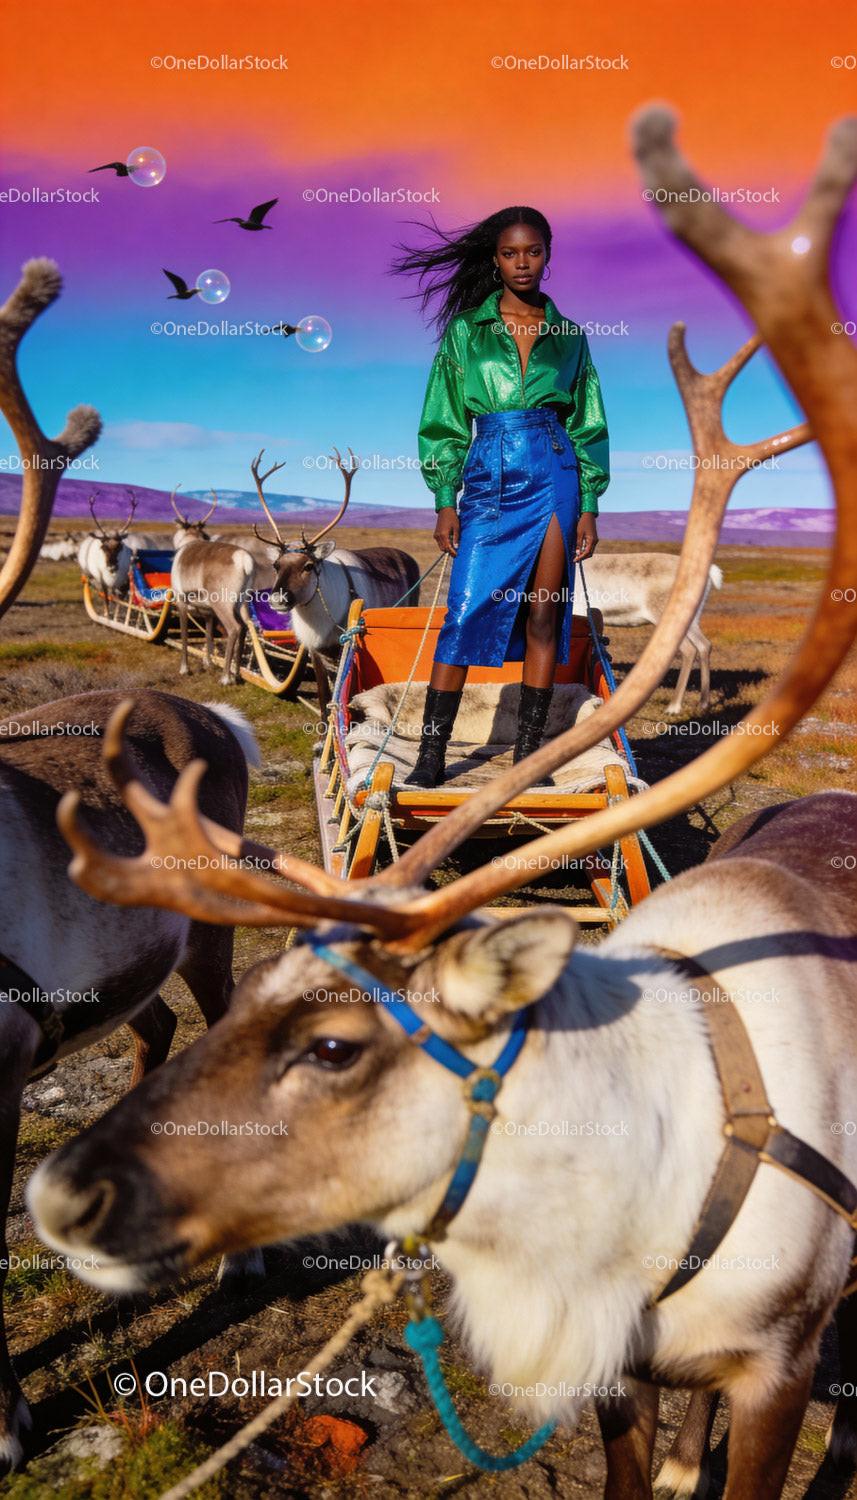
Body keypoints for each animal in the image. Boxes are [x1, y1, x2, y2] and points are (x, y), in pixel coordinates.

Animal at [169, 488, 272, 685]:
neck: (189, 540)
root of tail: (244, 560)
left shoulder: (181, 600)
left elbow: (185, 633)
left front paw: (184, 669)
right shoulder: (208, 610)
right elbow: (209, 632)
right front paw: (208, 662)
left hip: (223, 604)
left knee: (234, 628)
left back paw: (225, 678)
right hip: (242, 603)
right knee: (245, 627)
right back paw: (237, 674)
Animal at [248, 448, 421, 708]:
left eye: (309, 565)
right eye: (276, 565)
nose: (277, 599)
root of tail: (407, 556)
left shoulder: (348, 648)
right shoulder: (316, 652)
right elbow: (323, 699)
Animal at [574, 554, 723, 714]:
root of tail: (710, 572)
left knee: (689, 649)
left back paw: (674, 707)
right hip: (691, 622)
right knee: (704, 645)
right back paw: (703, 703)